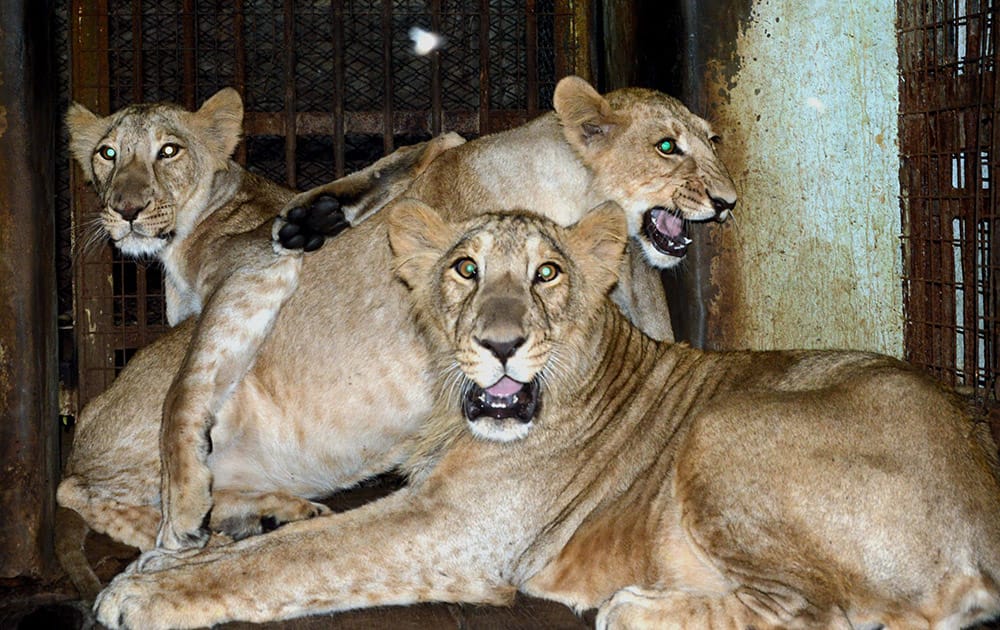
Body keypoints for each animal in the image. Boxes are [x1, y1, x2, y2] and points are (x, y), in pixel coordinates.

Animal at [60, 76, 736, 572]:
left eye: (713, 140)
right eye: (668, 146)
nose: (728, 202)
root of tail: (83, 424)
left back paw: (262, 515)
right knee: (88, 484)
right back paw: (211, 525)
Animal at [94, 202, 1000, 630]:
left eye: (547, 274)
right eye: (465, 269)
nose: (501, 345)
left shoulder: (453, 529)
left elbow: (295, 560)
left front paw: (145, 592)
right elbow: (277, 546)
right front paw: (173, 554)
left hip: (725, 427)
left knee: (831, 613)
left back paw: (636, 609)